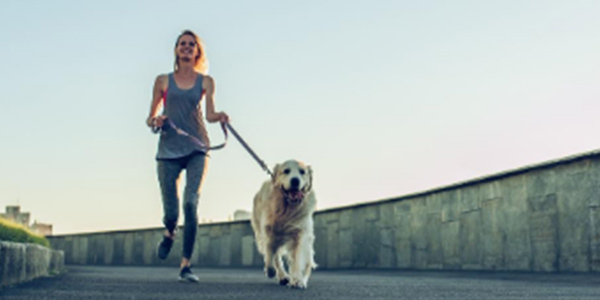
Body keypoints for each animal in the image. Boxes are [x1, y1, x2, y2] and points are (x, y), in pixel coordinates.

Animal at [250, 159, 316, 288]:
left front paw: (297, 280)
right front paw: (270, 270)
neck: (287, 209)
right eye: (286, 171)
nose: (295, 180)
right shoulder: (269, 232)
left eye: (302, 172)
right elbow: (270, 253)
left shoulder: (300, 234)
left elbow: (298, 258)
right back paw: (282, 275)